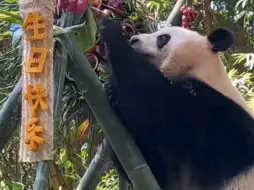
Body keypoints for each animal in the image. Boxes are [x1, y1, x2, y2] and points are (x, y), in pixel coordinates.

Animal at [98, 18, 254, 190]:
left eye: (163, 38)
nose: (133, 40)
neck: (202, 71)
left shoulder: (211, 114)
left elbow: (152, 101)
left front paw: (111, 30)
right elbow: (152, 166)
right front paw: (111, 92)